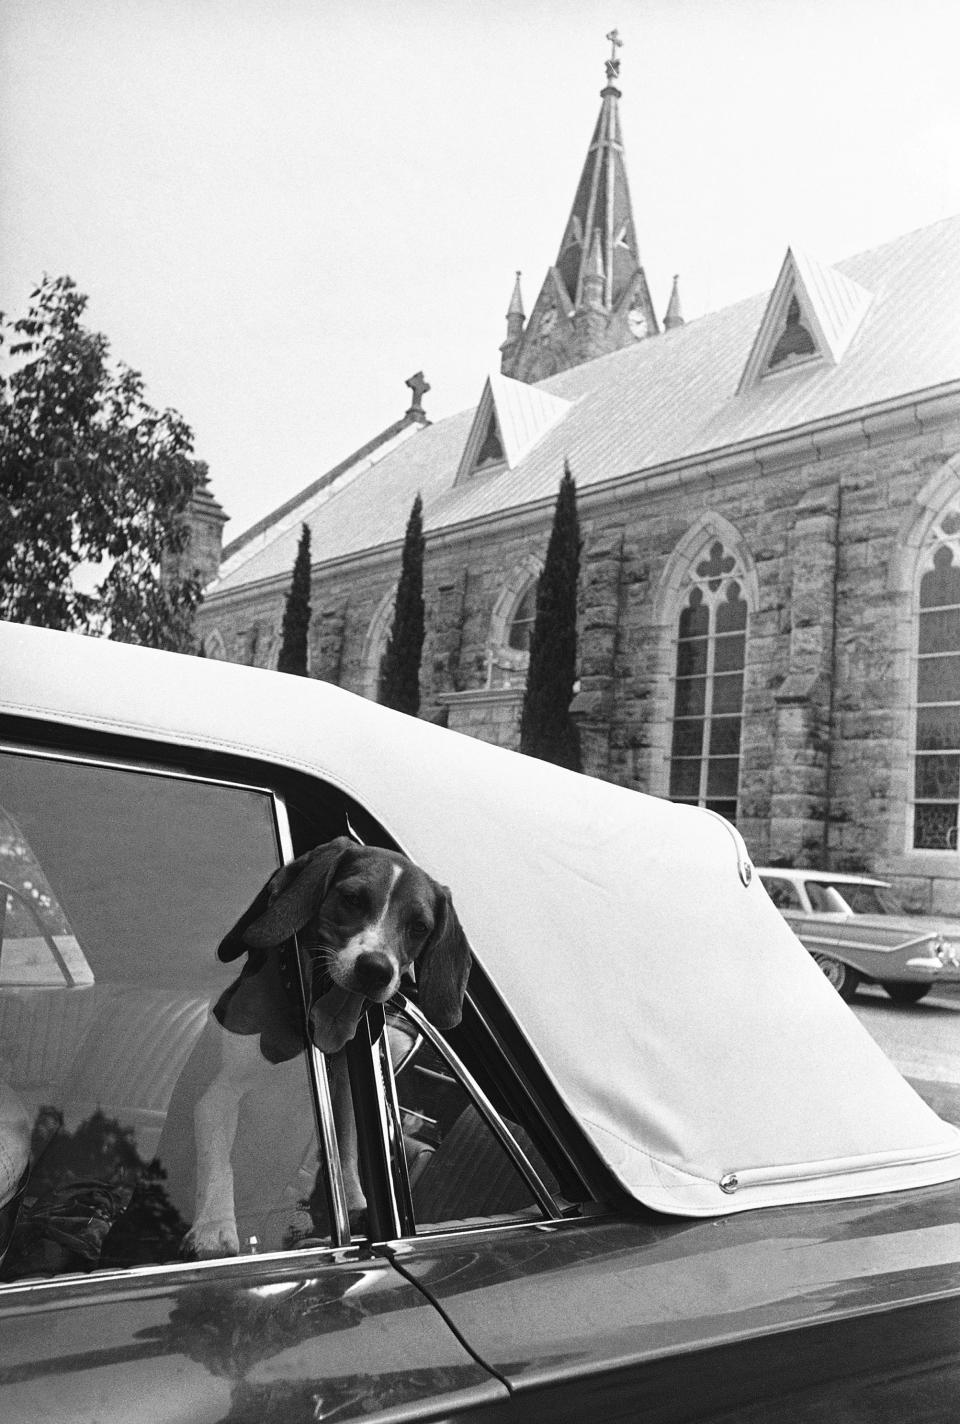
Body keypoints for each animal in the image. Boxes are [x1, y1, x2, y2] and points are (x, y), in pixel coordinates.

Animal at [178, 831, 467, 1258]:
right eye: (352, 899)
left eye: (419, 926)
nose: (375, 970)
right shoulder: (221, 1094)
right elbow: (219, 1159)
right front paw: (214, 1228)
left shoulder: (342, 1087)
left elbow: (346, 1143)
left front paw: (353, 1196)